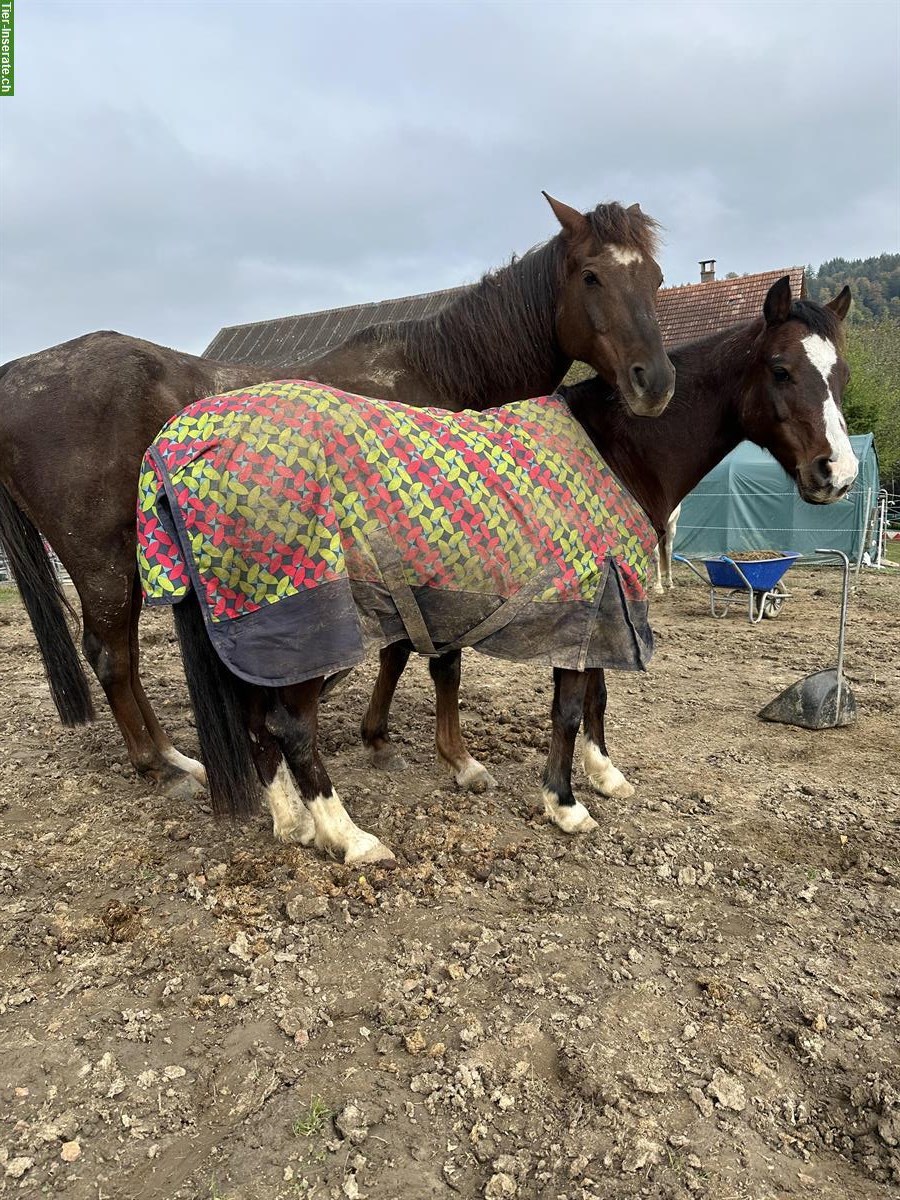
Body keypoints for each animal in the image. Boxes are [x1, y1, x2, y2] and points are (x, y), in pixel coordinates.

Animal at [0, 194, 676, 796]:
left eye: (656, 278)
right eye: (590, 276)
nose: (656, 382)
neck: (437, 374)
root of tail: (18, 376)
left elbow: (397, 652)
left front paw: (377, 738)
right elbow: (432, 657)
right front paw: (453, 761)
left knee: (124, 656)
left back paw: (173, 755)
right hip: (102, 562)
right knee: (111, 656)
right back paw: (160, 767)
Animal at [139, 279, 854, 864]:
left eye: (840, 374)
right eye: (781, 369)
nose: (837, 474)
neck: (618, 448)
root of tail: (181, 441)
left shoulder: (602, 605)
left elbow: (597, 696)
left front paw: (604, 776)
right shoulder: (588, 602)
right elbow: (569, 707)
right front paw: (565, 804)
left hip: (260, 626)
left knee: (256, 718)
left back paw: (290, 822)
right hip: (308, 621)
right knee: (290, 727)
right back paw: (349, 837)